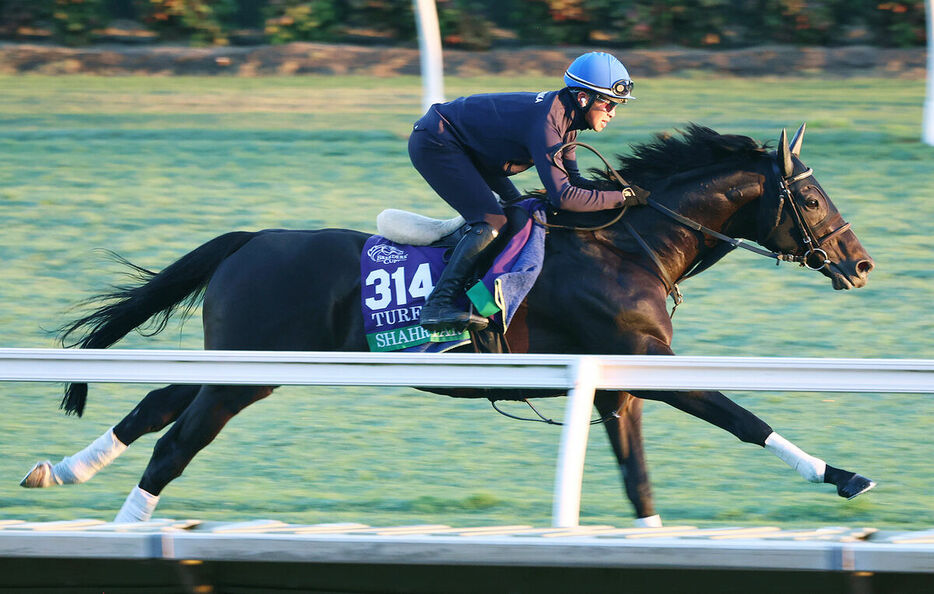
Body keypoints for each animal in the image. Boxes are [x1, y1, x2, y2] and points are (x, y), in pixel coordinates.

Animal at [20, 123, 876, 524]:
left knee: (155, 405)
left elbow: (638, 481)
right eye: (810, 196)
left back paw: (63, 470)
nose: (861, 263)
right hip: (252, 372)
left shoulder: (613, 387)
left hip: (241, 362)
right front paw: (844, 474)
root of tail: (252, 239)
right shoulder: (644, 363)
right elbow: (742, 416)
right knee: (176, 441)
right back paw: (125, 520)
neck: (631, 243)